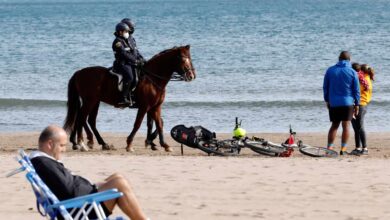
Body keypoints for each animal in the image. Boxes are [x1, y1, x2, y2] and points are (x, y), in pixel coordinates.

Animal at [65, 45, 197, 152]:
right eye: (183, 59)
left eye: (190, 58)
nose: (191, 76)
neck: (152, 78)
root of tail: (79, 72)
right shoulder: (145, 106)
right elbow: (138, 124)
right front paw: (130, 144)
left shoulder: (155, 107)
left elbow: (159, 123)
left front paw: (164, 145)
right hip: (90, 101)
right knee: (81, 118)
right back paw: (82, 143)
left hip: (95, 102)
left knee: (89, 120)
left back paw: (100, 143)